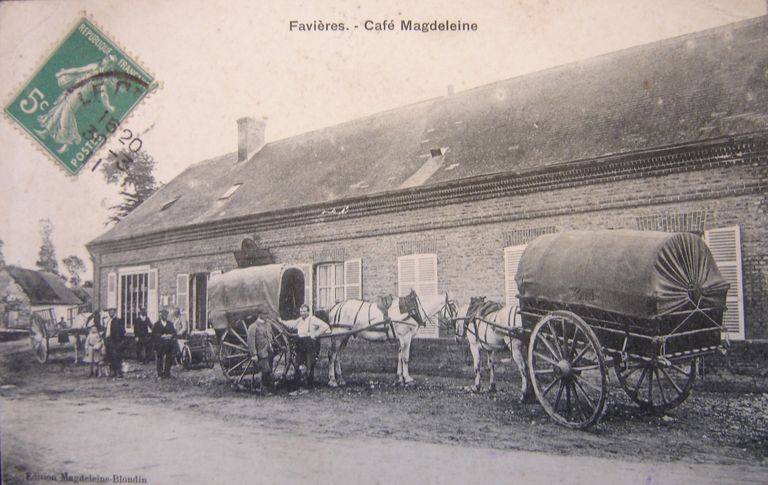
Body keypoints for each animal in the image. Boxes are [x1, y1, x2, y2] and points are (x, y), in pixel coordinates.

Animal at [326, 290, 456, 388]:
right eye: (453, 305)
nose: (456, 323)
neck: (412, 310)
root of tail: (335, 307)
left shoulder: (401, 339)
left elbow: (399, 358)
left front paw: (399, 379)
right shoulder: (406, 337)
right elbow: (405, 358)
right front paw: (408, 379)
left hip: (345, 337)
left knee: (338, 356)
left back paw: (341, 379)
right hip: (338, 336)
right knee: (332, 355)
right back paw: (332, 381)